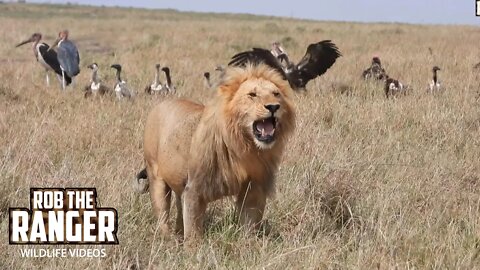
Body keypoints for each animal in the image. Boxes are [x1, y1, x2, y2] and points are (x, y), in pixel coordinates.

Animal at [133, 64, 294, 242]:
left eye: (276, 94)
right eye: (252, 95)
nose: (273, 107)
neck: (244, 145)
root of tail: (161, 104)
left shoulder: (254, 188)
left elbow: (250, 225)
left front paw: (249, 244)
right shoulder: (195, 188)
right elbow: (193, 230)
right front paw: (194, 248)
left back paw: (178, 233)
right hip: (156, 176)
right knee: (162, 214)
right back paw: (168, 239)